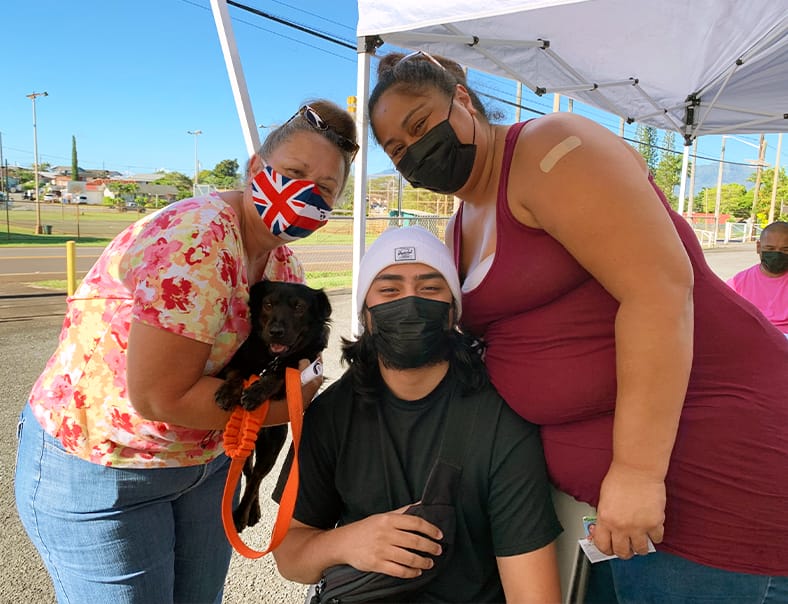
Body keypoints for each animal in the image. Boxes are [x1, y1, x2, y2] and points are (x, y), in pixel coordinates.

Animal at [214, 280, 330, 532]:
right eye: (268, 304)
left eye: (299, 307)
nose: (276, 331)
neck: (271, 358)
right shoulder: (238, 361)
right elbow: (237, 372)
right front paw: (229, 392)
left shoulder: (299, 371)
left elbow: (278, 375)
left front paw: (256, 392)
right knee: (249, 472)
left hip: (271, 446)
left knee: (256, 478)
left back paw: (241, 515)